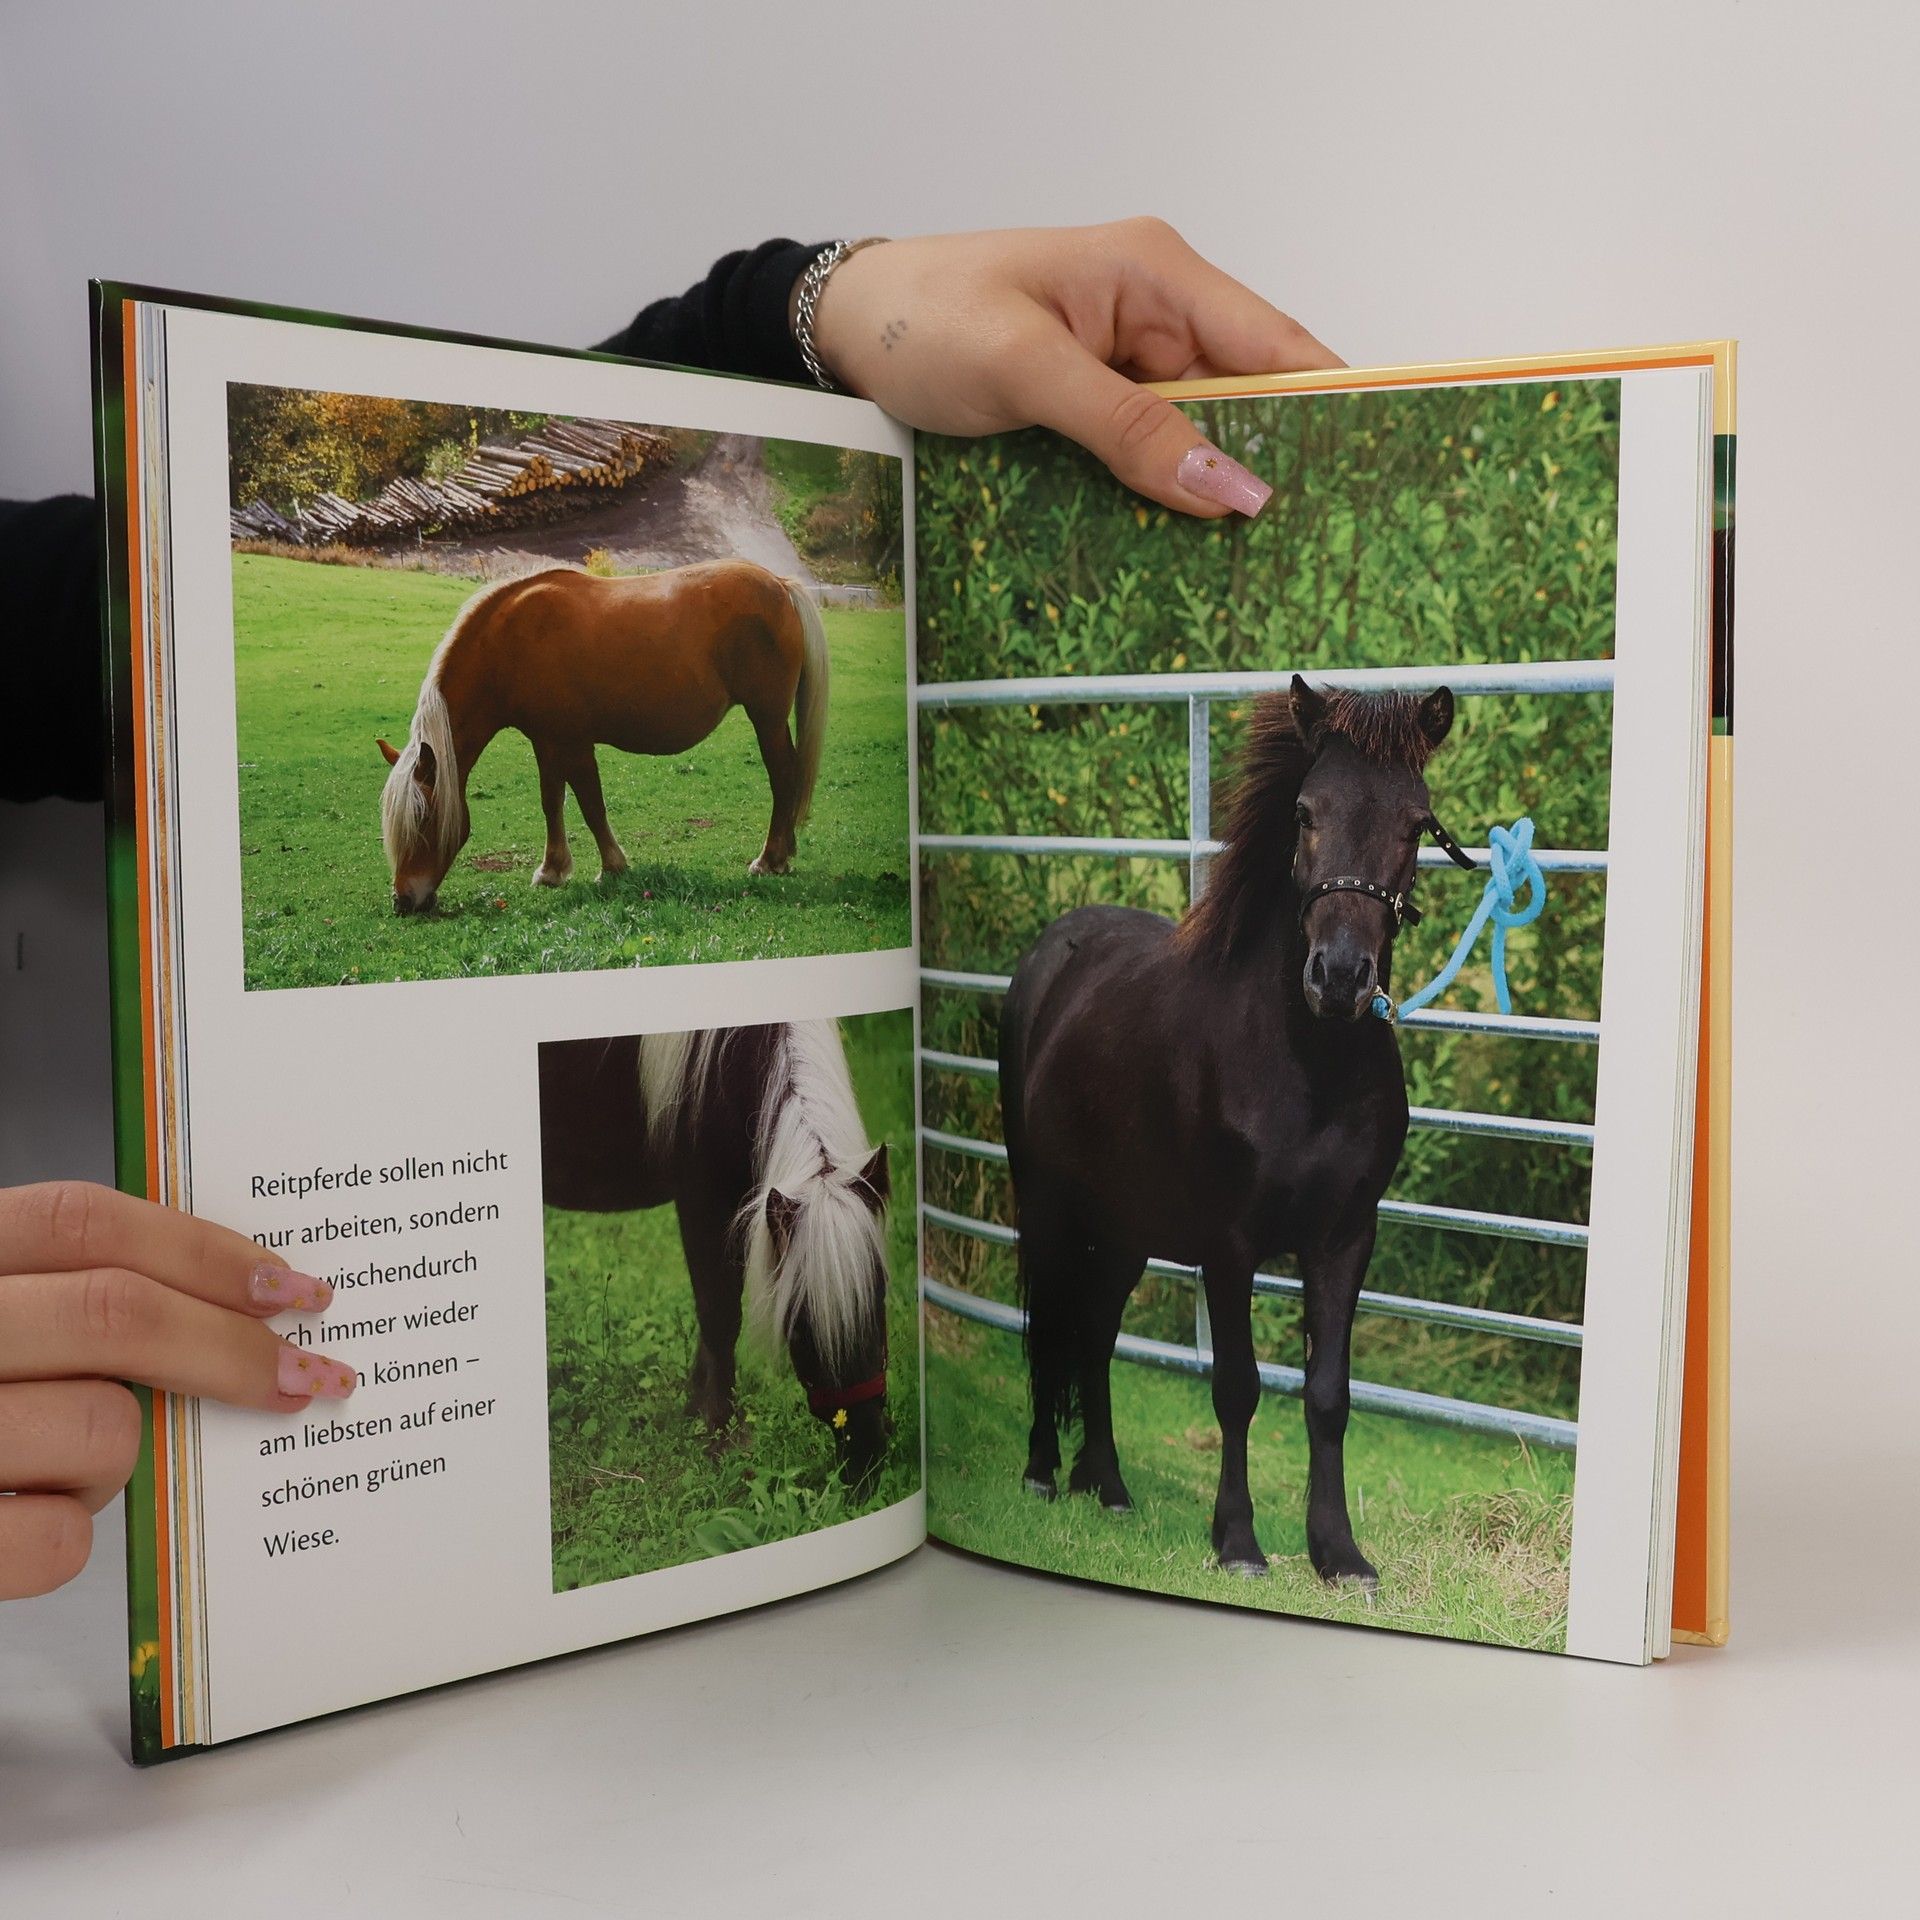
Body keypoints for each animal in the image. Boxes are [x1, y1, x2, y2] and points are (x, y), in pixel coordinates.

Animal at [377, 558, 829, 914]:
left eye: (422, 819)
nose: (404, 901)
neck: (512, 642)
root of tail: (781, 586)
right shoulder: (547, 741)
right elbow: (551, 802)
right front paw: (552, 870)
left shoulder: (575, 744)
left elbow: (591, 804)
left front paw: (611, 867)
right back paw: (786, 850)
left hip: (766, 717)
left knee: (783, 776)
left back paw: (769, 859)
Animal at [538, 1018, 894, 1495]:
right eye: (799, 1323)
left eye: (879, 1293)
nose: (866, 1460)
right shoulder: (701, 1200)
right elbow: (720, 1317)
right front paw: (720, 1433)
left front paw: (696, 1410)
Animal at [998, 675, 1462, 1585]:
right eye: (1306, 812)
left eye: (1416, 824)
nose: (1340, 977)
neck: (1309, 1068)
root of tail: (1052, 951)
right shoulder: (1230, 1244)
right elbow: (1239, 1388)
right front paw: (1239, 1543)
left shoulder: (1345, 1240)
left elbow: (1327, 1394)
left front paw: (1339, 1554)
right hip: (1047, 1207)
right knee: (1050, 1324)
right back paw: (1038, 1472)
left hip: (1127, 1226)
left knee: (1095, 1333)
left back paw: (1107, 1485)